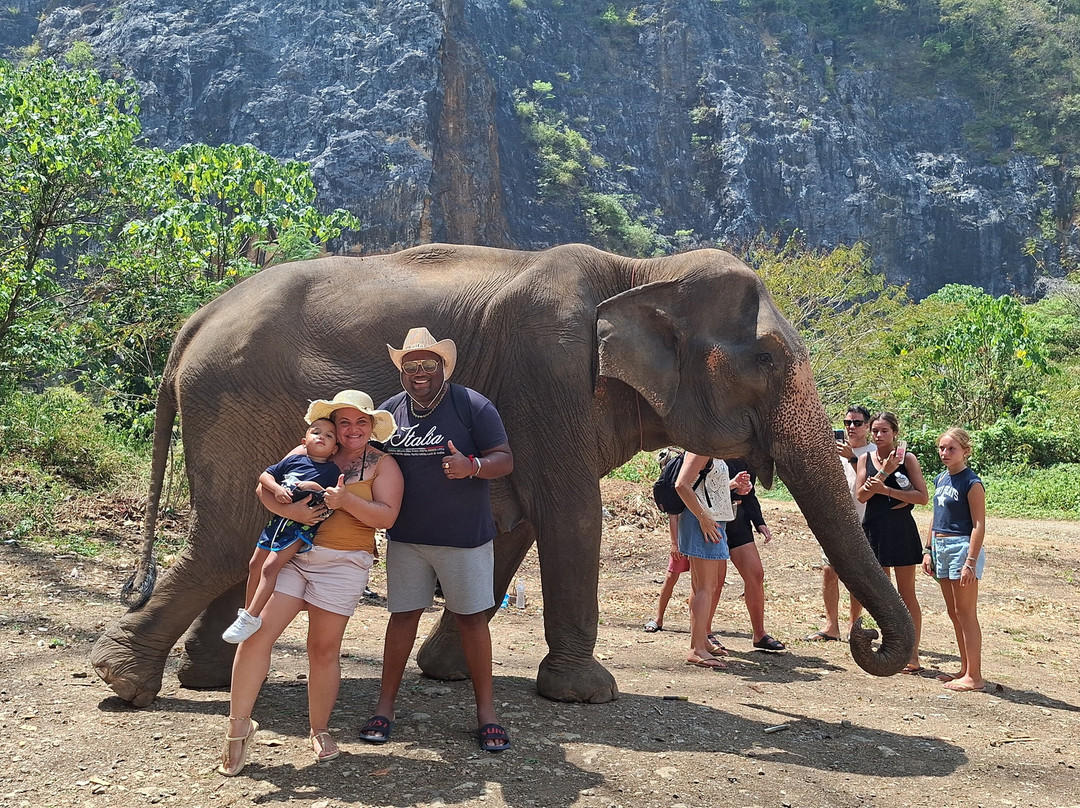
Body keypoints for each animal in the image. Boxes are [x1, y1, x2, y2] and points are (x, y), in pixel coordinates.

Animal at [91, 242, 914, 707]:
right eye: (768, 360)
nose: (864, 640)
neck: (644, 275)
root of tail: (193, 322)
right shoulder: (550, 374)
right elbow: (571, 513)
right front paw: (587, 695)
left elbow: (510, 518)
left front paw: (447, 672)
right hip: (237, 403)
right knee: (230, 531)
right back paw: (124, 681)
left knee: (247, 530)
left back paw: (206, 674)